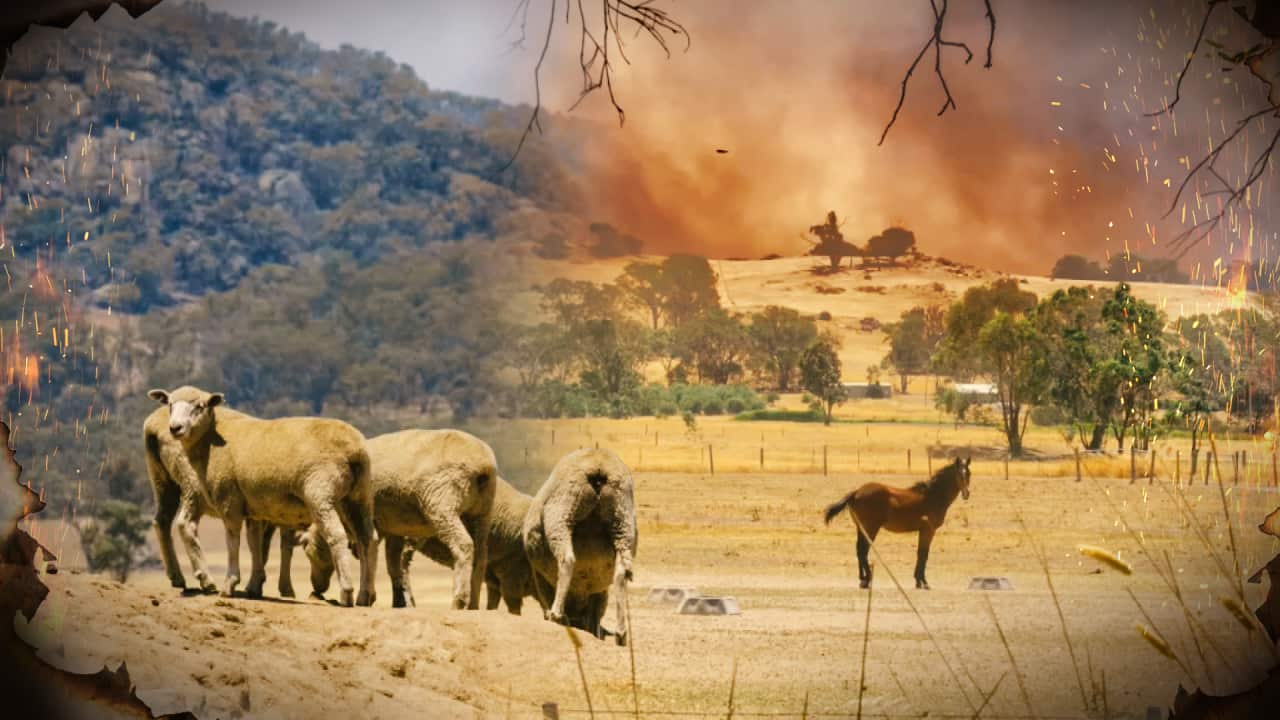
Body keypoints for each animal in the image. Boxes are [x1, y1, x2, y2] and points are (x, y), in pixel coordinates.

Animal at [145, 386, 375, 607]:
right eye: (170, 404)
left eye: (199, 406)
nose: (175, 428)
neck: (210, 440)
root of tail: (354, 449)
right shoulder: (253, 508)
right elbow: (254, 543)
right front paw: (254, 585)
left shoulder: (229, 499)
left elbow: (233, 540)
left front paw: (230, 583)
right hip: (357, 496)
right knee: (366, 538)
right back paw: (365, 595)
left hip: (320, 494)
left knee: (337, 535)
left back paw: (347, 592)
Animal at [297, 428, 498, 609]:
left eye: (310, 555)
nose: (317, 589)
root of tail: (483, 466)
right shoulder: (395, 526)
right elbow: (392, 564)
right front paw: (398, 601)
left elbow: (368, 552)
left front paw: (366, 595)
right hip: (481, 512)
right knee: (481, 556)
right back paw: (473, 603)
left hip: (443, 503)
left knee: (463, 545)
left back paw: (459, 600)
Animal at [523, 448, 637, 645]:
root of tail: (599, 465)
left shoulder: (539, 577)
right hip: (623, 523)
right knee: (621, 574)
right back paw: (621, 633)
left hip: (561, 515)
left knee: (567, 559)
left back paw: (556, 614)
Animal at [823, 456, 971, 590]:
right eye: (959, 474)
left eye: (968, 473)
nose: (966, 494)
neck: (933, 496)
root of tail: (856, 492)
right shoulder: (928, 530)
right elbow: (923, 554)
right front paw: (923, 582)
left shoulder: (923, 531)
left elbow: (920, 553)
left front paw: (918, 581)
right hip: (871, 528)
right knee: (863, 551)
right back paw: (868, 579)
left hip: (861, 528)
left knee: (859, 550)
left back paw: (863, 580)